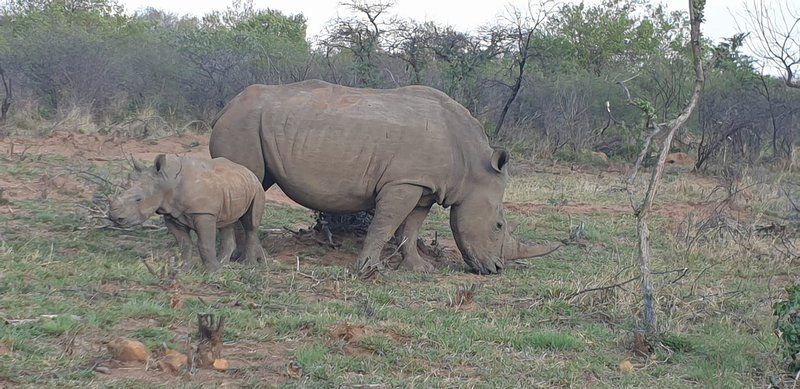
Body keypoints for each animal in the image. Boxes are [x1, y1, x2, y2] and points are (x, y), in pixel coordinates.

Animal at [108, 153, 266, 272]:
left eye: (138, 199)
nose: (114, 217)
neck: (167, 181)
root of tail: (248, 171)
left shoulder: (204, 213)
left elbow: (205, 244)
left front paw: (213, 272)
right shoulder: (172, 215)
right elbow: (184, 244)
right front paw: (184, 270)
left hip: (257, 188)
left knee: (250, 223)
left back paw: (249, 265)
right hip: (233, 185)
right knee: (226, 223)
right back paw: (224, 264)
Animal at [209, 80, 560, 276]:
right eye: (498, 225)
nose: (496, 270)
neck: (473, 166)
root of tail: (225, 107)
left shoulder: (423, 185)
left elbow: (410, 228)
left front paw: (419, 269)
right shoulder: (403, 181)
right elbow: (385, 224)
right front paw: (368, 269)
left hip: (253, 123)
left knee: (255, 185)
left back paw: (240, 257)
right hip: (243, 123)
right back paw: (251, 261)